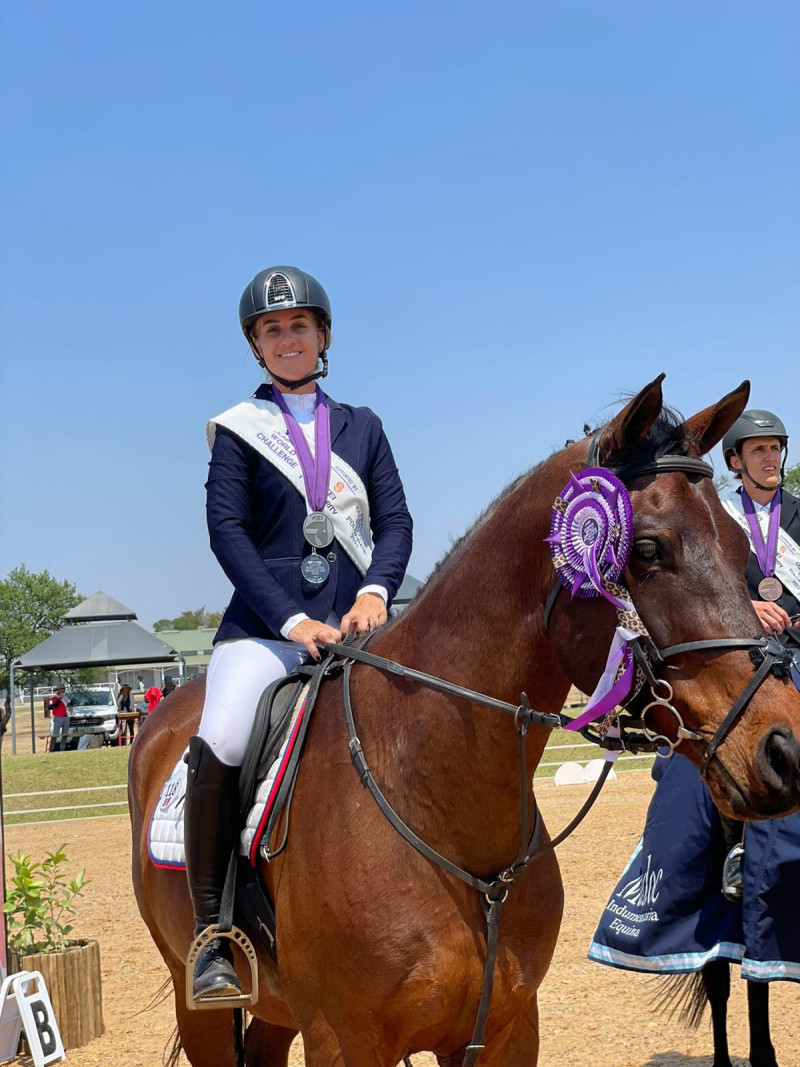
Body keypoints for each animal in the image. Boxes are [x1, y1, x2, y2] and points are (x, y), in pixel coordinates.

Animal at [131, 377, 800, 1067]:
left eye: (740, 549)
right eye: (647, 549)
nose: (784, 751)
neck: (439, 806)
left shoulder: (506, 1031)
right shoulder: (344, 1041)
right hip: (200, 1005)